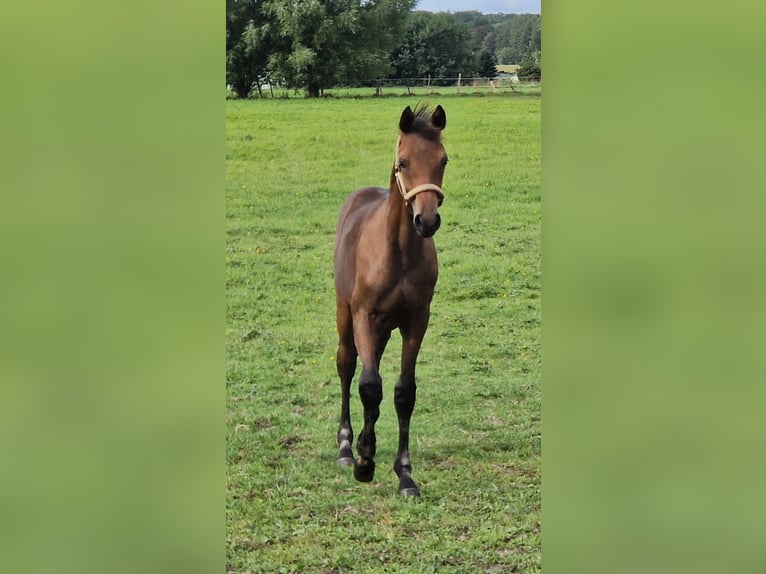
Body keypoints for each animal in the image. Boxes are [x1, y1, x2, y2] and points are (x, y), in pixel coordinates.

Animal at [333, 104, 448, 496]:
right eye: (403, 162)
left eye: (443, 160)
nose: (426, 221)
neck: (397, 253)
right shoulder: (364, 316)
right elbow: (369, 386)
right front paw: (365, 462)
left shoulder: (416, 321)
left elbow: (402, 392)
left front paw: (405, 474)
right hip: (345, 313)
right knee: (347, 365)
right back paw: (346, 446)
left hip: (383, 327)